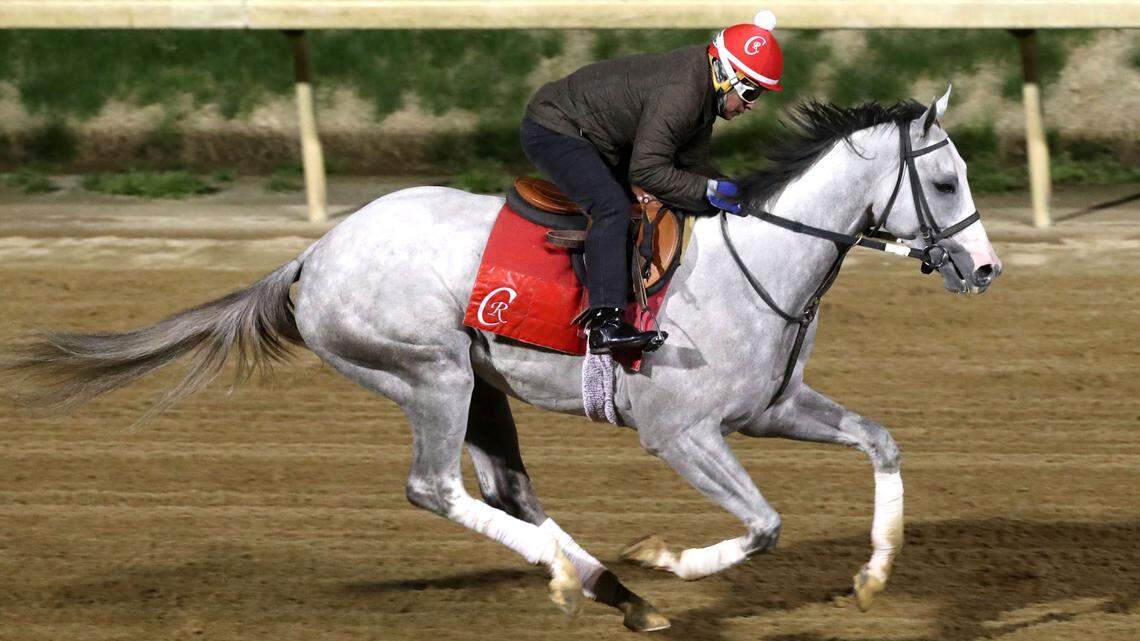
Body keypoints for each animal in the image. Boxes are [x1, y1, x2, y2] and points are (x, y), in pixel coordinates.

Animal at [2, 87, 1001, 632]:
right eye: (944, 178)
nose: (986, 267)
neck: (757, 261)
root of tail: (312, 258)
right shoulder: (680, 432)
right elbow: (763, 524)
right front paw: (668, 557)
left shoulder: (771, 408)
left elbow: (880, 439)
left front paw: (874, 576)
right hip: (430, 372)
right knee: (435, 488)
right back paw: (579, 575)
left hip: (482, 385)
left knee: (510, 490)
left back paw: (611, 589)